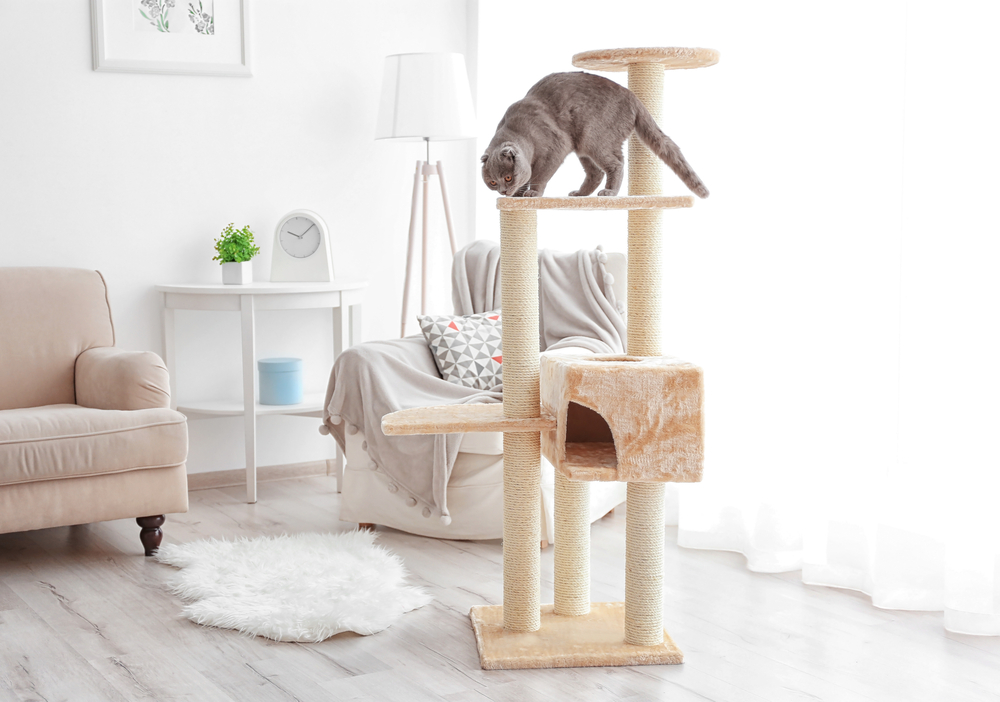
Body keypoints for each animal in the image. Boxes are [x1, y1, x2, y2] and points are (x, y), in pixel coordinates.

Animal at [480, 72, 708, 198]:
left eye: (507, 177)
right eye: (492, 182)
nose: (502, 191)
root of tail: (633, 96)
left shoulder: (556, 147)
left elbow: (539, 175)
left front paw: (533, 193)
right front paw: (520, 194)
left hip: (593, 138)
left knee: (616, 164)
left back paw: (610, 193)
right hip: (585, 145)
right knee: (598, 172)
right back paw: (581, 194)